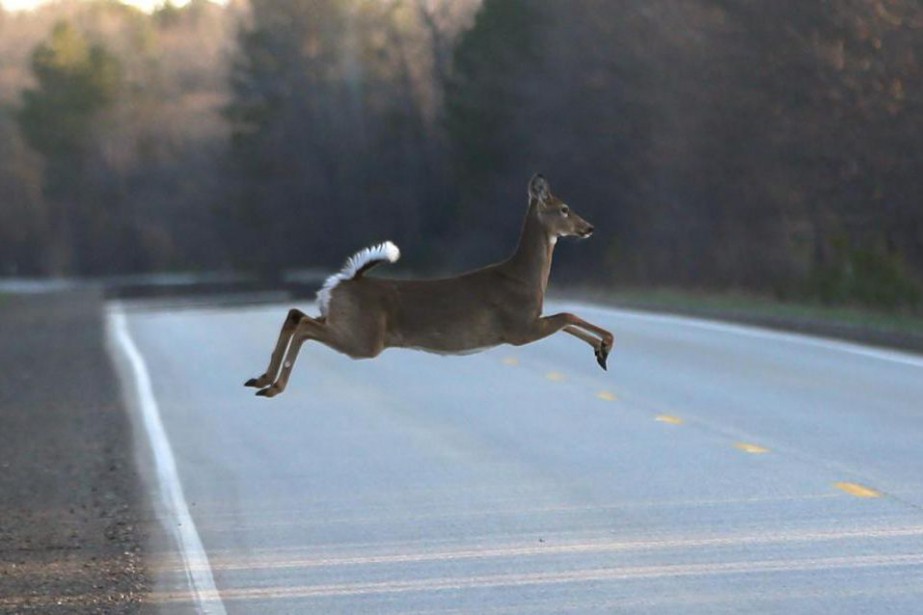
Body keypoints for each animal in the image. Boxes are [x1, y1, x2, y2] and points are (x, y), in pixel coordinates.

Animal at [247, 173, 612, 400]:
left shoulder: (529, 323)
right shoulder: (519, 328)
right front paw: (606, 346)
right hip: (364, 338)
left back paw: (260, 379)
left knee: (296, 314)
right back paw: (273, 386)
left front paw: (600, 352)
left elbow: (567, 320)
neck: (523, 277)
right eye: (564, 208)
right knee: (305, 326)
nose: (590, 227)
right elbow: (567, 316)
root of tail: (345, 281)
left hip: (343, 321)